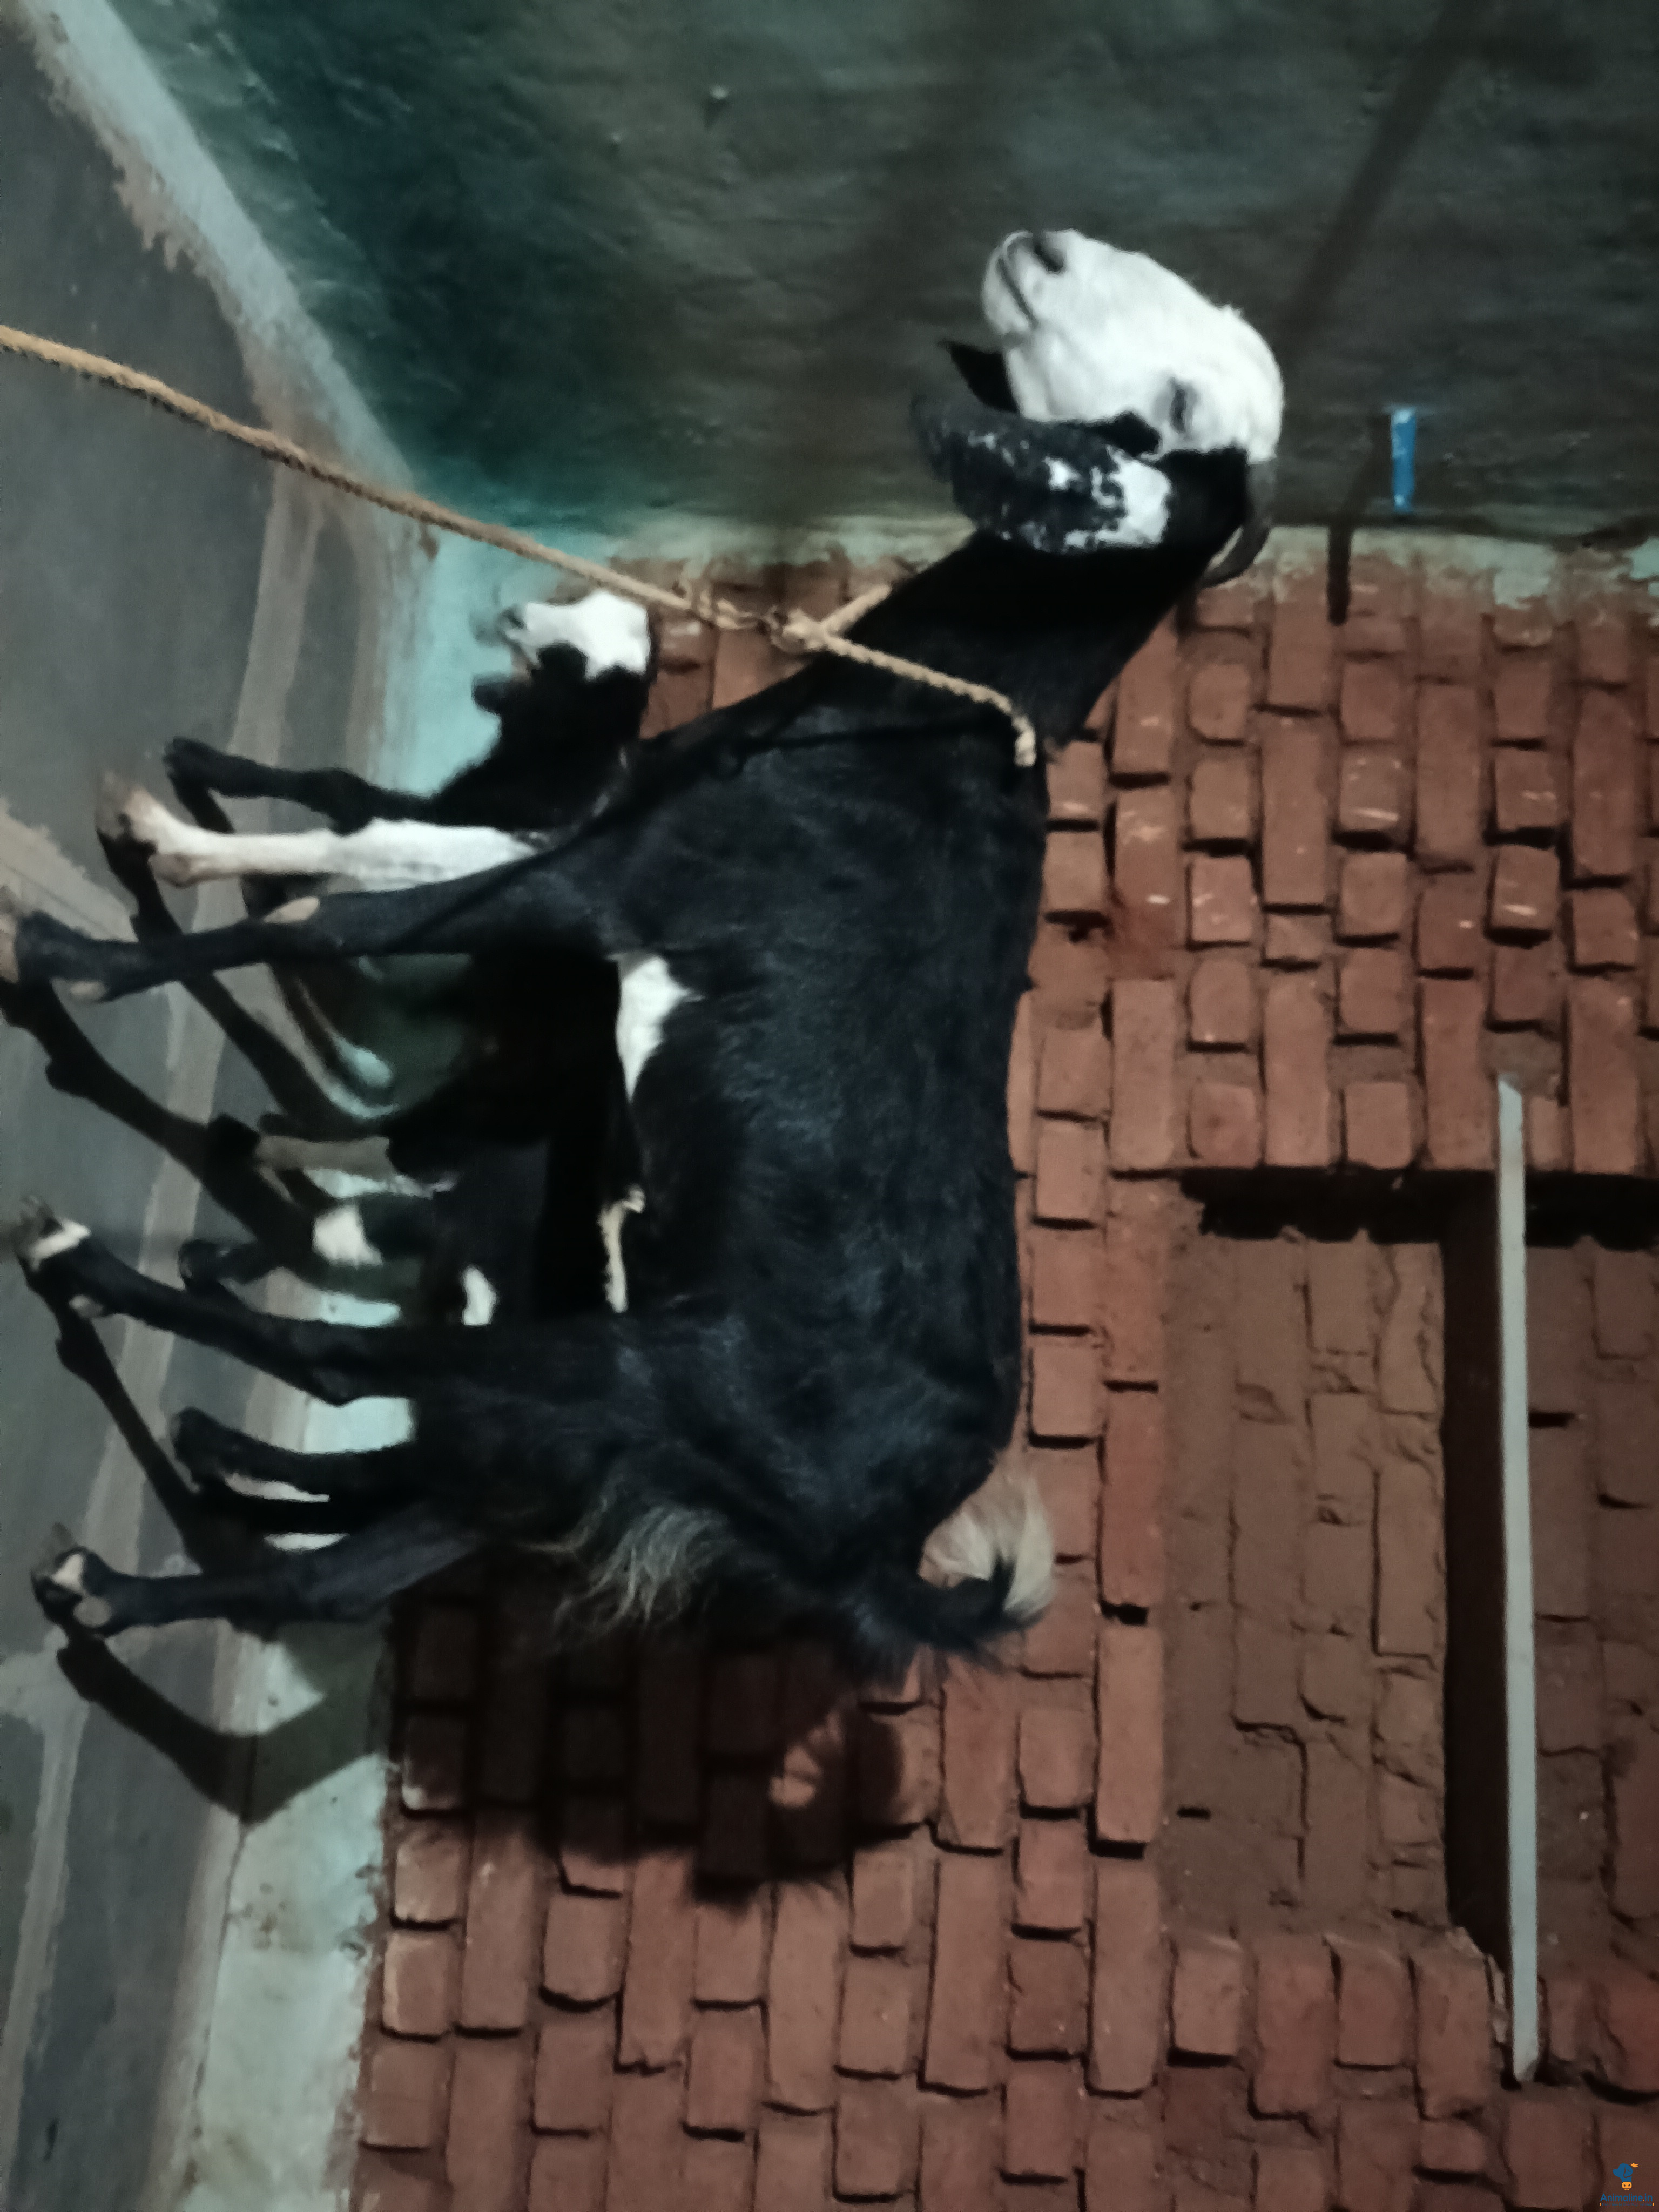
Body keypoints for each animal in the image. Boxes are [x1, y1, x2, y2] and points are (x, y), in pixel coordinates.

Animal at [9, 229, 1282, 1677]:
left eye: (1171, 414)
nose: (1042, 246)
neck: (914, 733)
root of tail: (884, 1551)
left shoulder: (614, 885)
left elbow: (341, 916)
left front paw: (68, 954)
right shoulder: (594, 838)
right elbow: (384, 847)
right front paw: (165, 835)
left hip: (614, 1381)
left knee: (340, 1368)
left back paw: (80, 1268)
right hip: (578, 1446)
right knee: (332, 1578)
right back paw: (109, 1584)